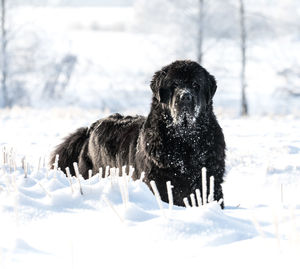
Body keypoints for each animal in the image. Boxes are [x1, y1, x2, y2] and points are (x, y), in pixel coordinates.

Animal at [50, 60, 226, 207]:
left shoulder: (211, 182)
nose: (185, 96)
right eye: (175, 84)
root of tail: (91, 127)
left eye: (196, 85)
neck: (185, 140)